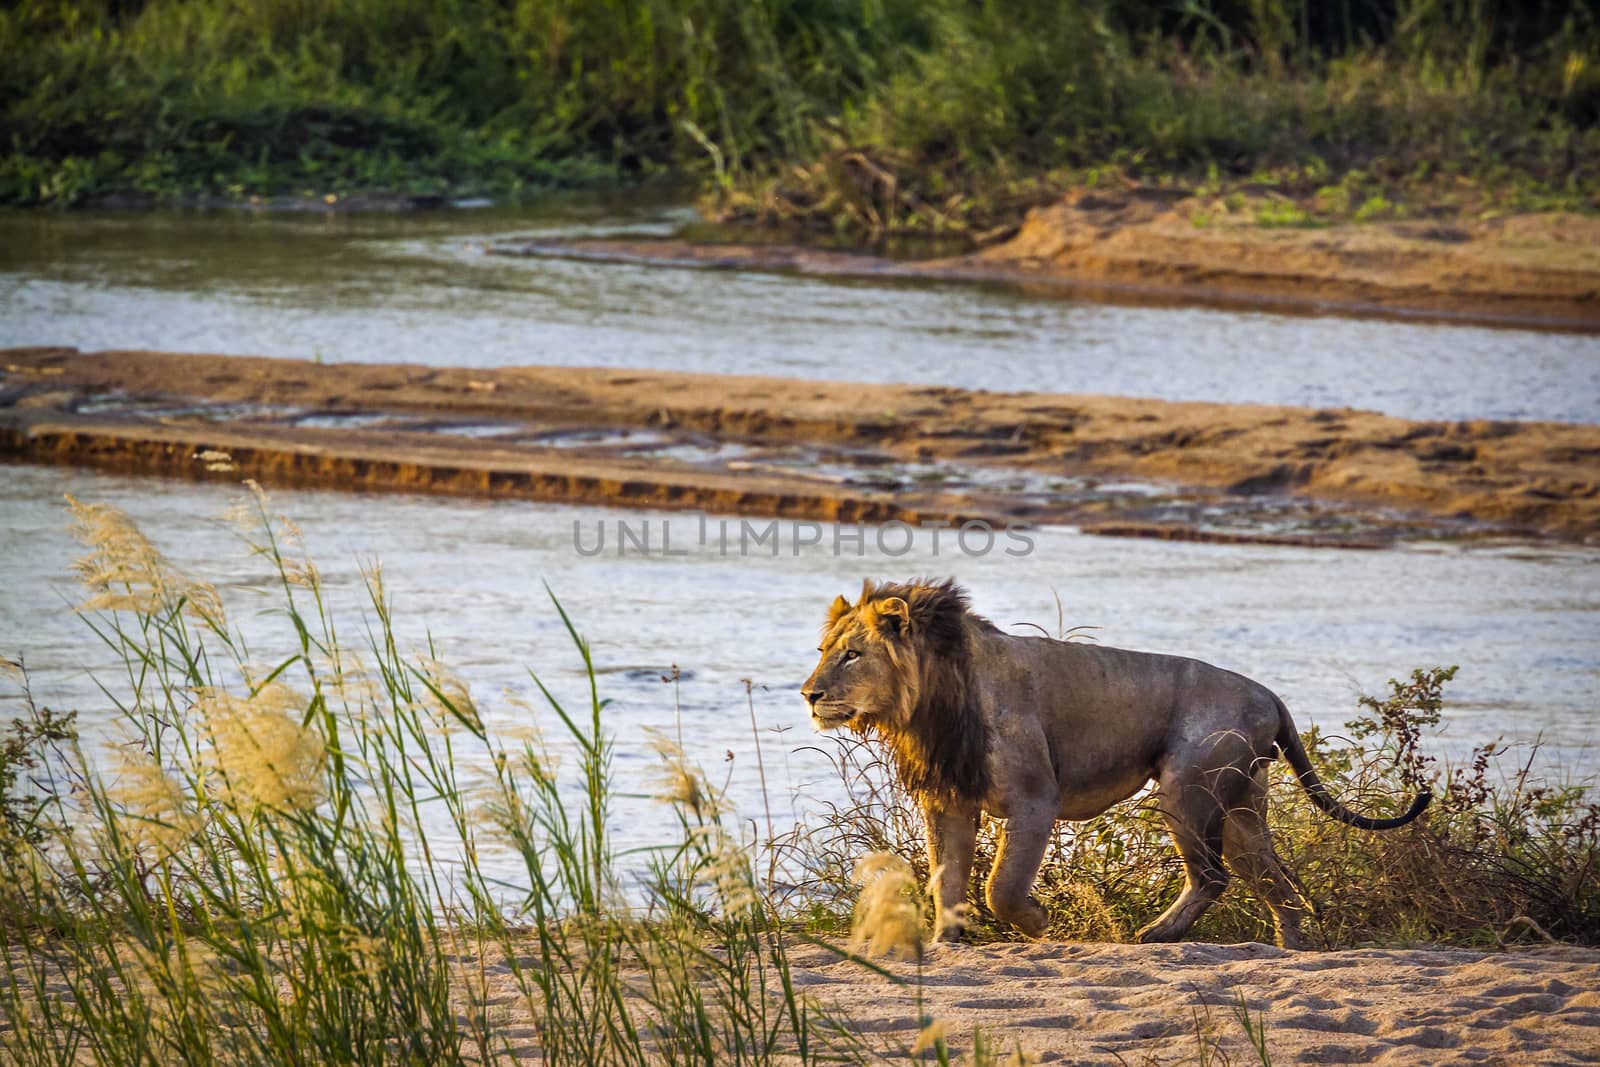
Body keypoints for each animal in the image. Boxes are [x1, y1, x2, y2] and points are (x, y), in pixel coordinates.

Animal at [806, 579, 1433, 947]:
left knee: (1214, 877)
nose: (810, 694)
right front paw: (945, 944)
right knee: (1278, 883)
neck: (927, 704)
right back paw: (1291, 948)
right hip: (1240, 808)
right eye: (823, 651)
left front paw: (1040, 925)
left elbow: (999, 885)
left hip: (1187, 789)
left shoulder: (1036, 799)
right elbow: (948, 880)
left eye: (853, 655)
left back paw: (1154, 935)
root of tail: (1271, 697)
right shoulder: (948, 801)